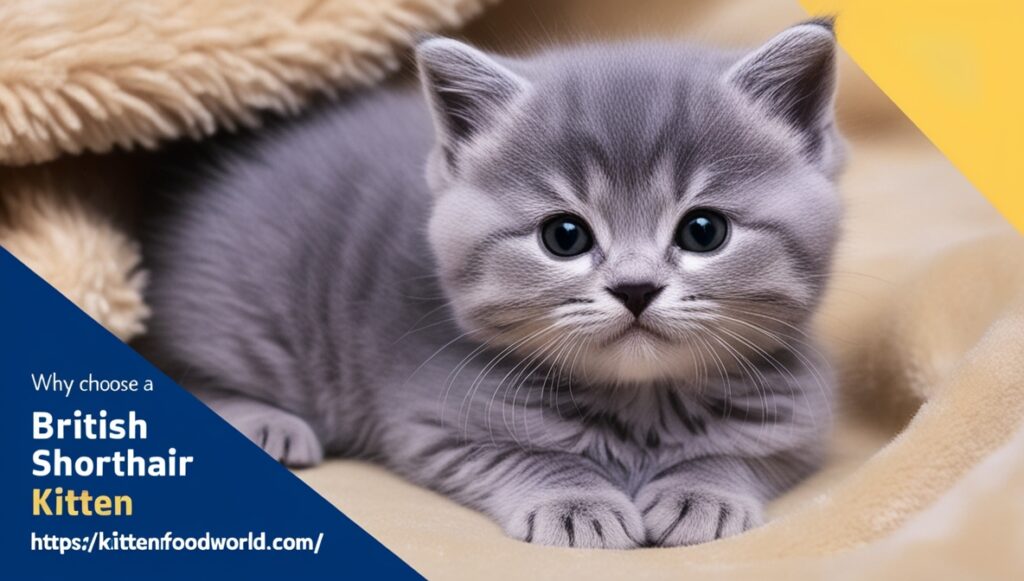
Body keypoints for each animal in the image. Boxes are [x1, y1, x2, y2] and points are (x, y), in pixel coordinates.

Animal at [142, 21, 847, 549]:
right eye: (564, 236)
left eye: (704, 231)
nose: (635, 288)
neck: (642, 401)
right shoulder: (431, 422)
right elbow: (527, 455)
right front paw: (576, 502)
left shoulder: (801, 423)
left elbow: (747, 453)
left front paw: (701, 489)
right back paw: (267, 423)